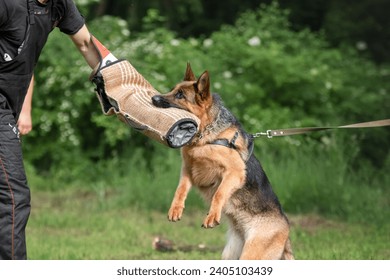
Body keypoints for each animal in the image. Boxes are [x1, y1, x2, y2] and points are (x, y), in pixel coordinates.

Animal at [151, 64, 294, 260]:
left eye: (180, 95)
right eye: (173, 90)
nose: (153, 98)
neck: (205, 136)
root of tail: (286, 232)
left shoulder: (234, 172)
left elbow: (219, 193)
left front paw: (211, 216)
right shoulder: (188, 169)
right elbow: (180, 190)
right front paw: (176, 209)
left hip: (251, 255)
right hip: (230, 255)